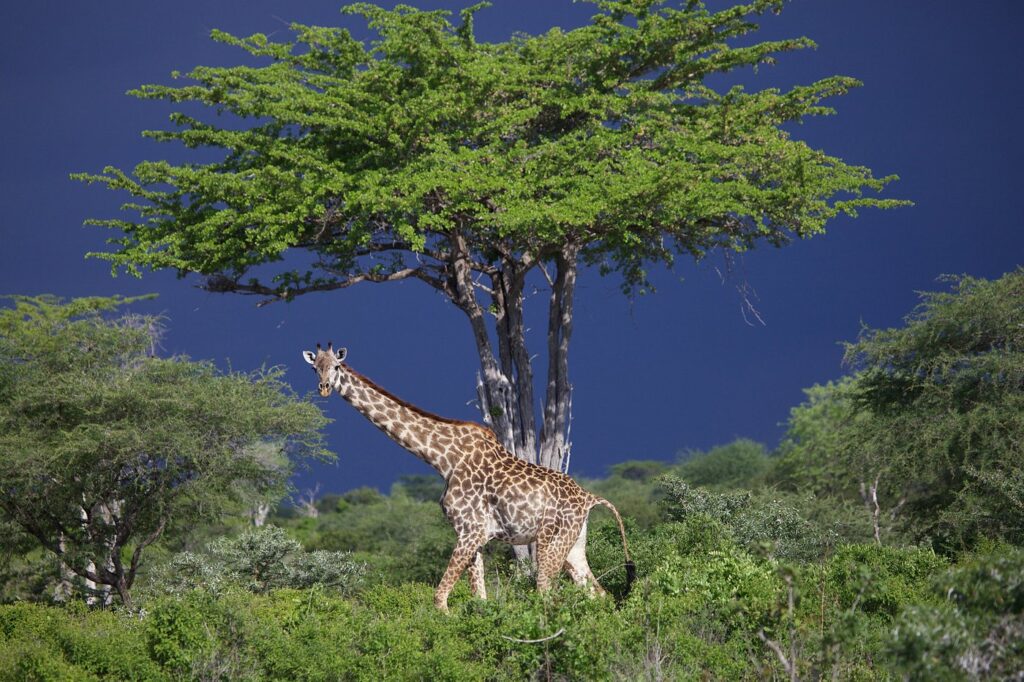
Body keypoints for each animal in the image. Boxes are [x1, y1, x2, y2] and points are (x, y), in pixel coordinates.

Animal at [299, 339, 634, 610]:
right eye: (315, 368)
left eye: (337, 366)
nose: (324, 388)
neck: (442, 459)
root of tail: (590, 498)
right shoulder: (473, 535)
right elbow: (479, 599)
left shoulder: (470, 530)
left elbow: (440, 599)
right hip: (574, 546)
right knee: (599, 594)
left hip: (551, 542)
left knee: (546, 593)